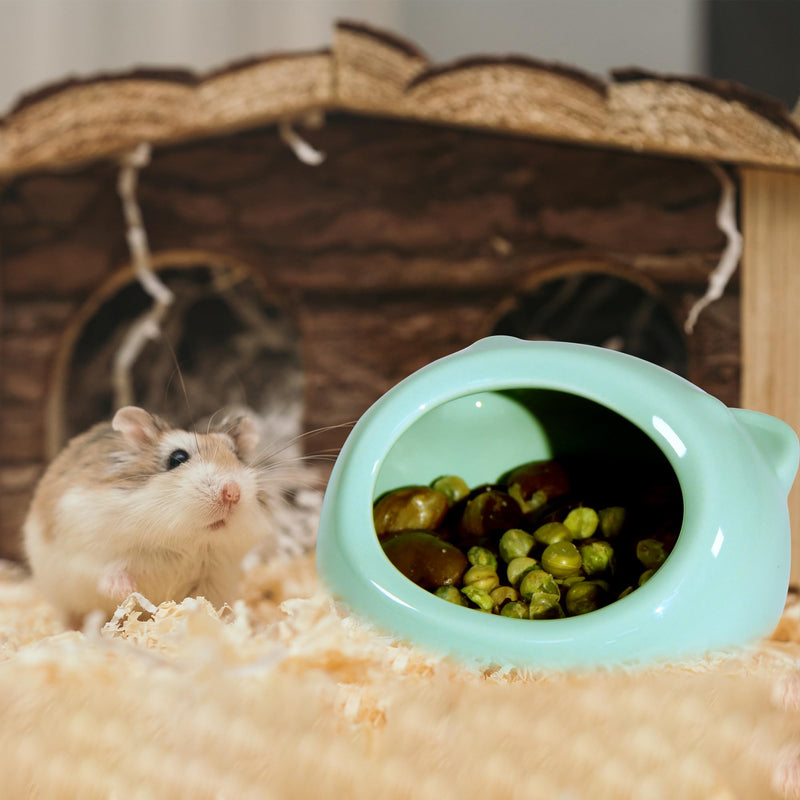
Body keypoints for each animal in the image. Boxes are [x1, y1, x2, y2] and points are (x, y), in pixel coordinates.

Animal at [23, 406, 276, 627]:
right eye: (177, 458)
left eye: (237, 456)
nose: (232, 492)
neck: (185, 541)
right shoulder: (88, 550)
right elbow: (107, 571)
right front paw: (126, 590)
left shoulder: (216, 576)